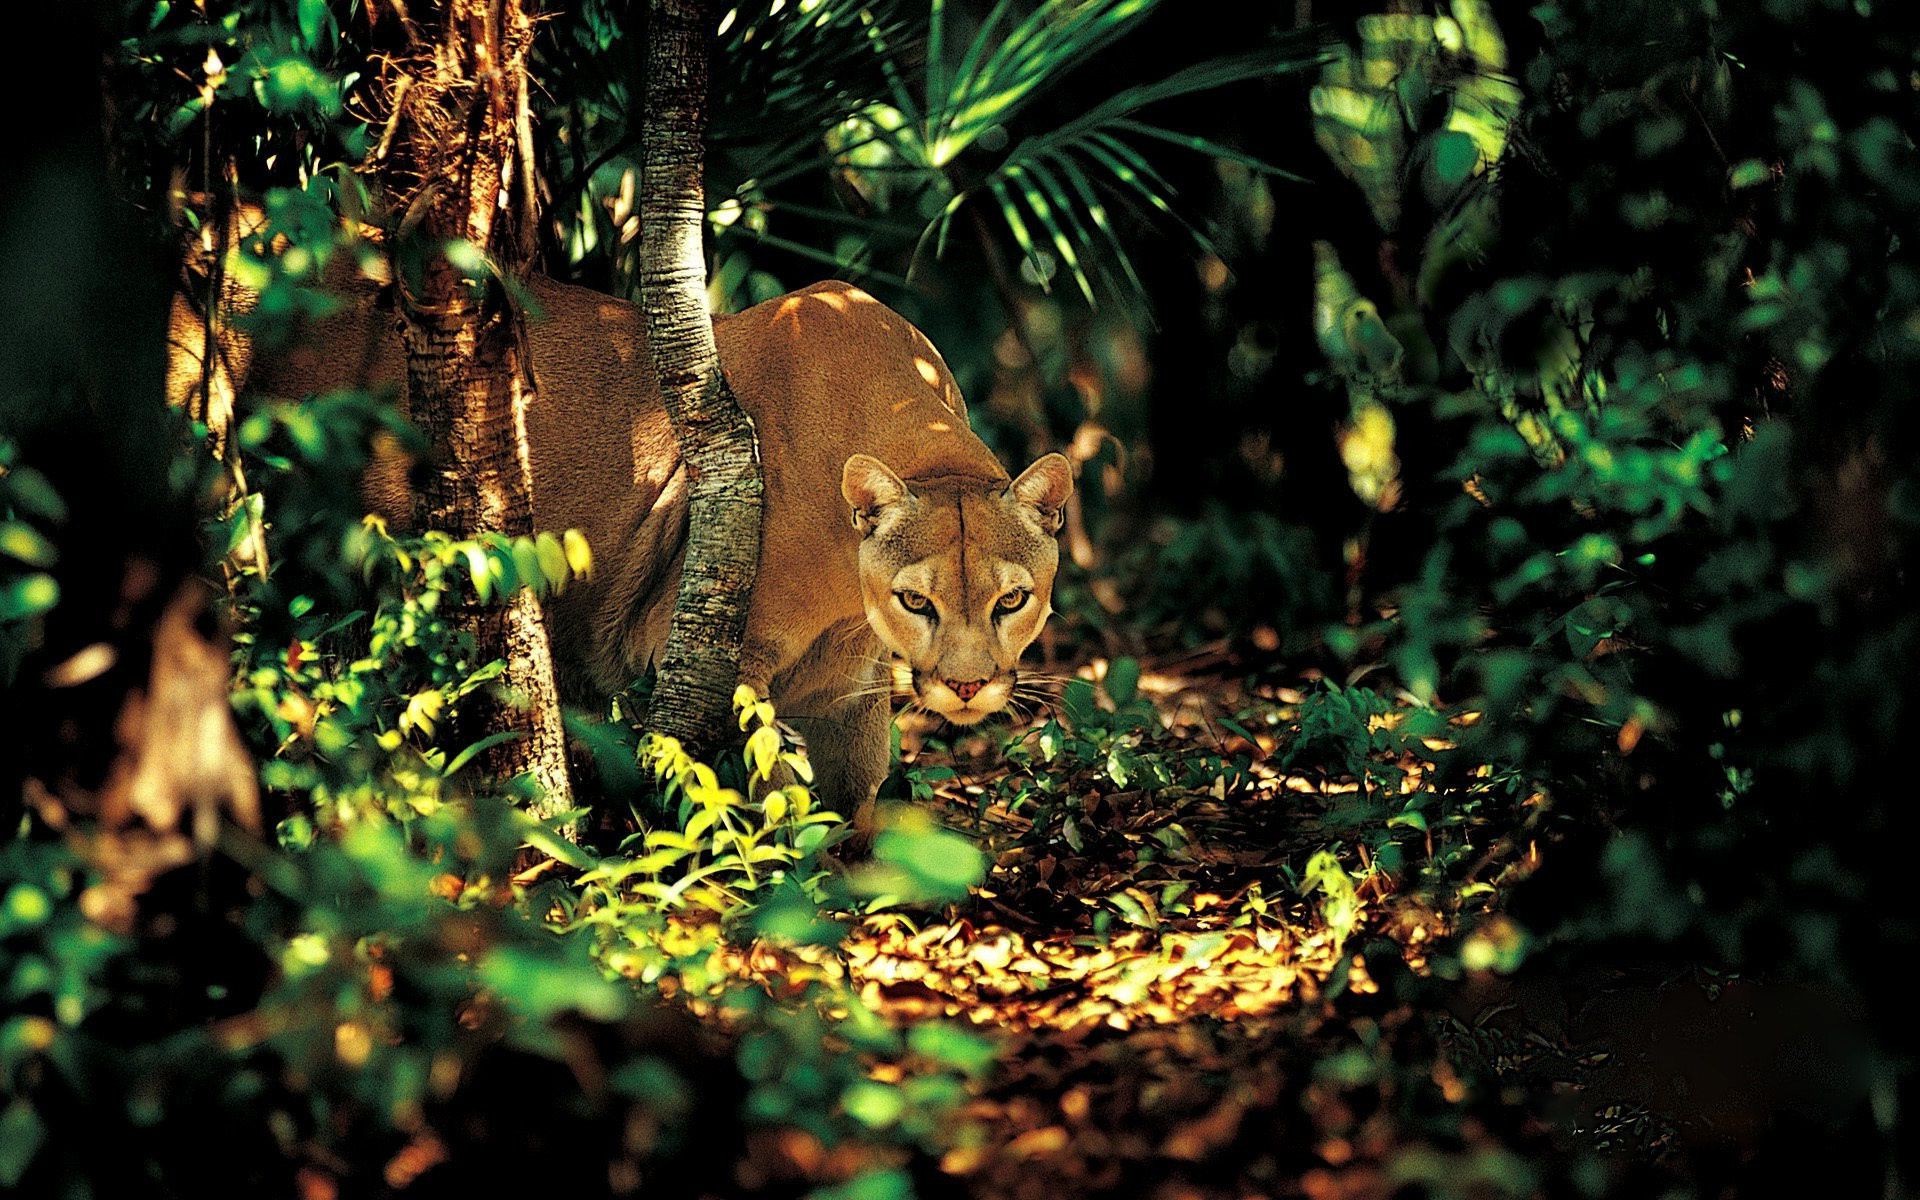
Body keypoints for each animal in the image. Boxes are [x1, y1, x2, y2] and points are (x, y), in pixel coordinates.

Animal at [172, 274, 1075, 829]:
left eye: (1011, 600)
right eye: (917, 601)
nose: (966, 687)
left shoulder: (846, 689)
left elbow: (854, 802)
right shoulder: (708, 654)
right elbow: (772, 793)